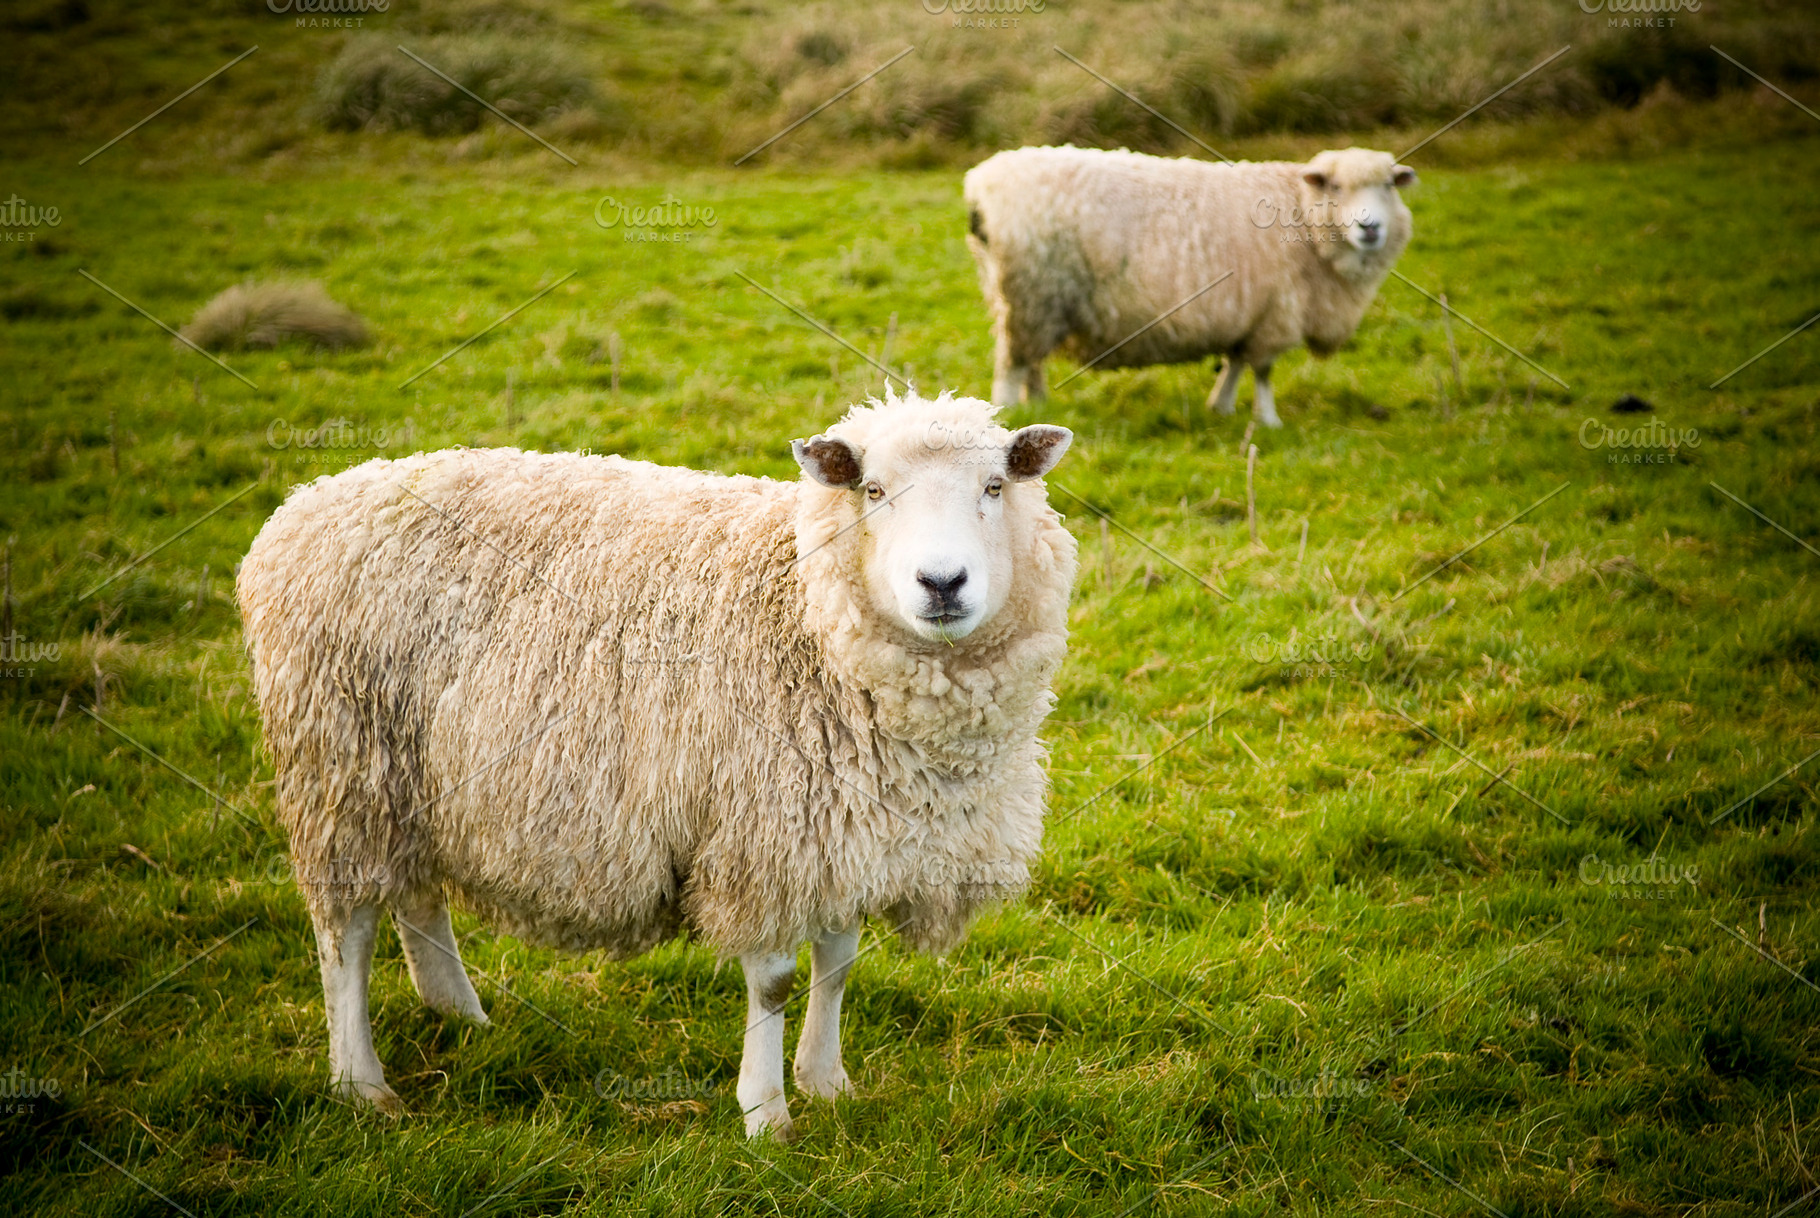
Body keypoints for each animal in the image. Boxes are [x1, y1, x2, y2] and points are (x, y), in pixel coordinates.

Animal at [235, 388, 1078, 1140]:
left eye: (995, 486)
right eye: (873, 490)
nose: (942, 584)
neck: (802, 608)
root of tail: (310, 501)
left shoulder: (839, 827)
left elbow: (837, 962)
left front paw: (827, 1082)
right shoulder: (759, 830)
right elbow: (774, 981)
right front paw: (766, 1114)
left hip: (416, 774)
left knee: (416, 897)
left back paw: (460, 1014)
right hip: (341, 763)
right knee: (345, 932)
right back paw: (360, 1083)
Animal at [964, 145, 1415, 426]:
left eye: (1388, 187)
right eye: (1337, 187)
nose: (1370, 228)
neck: (1304, 217)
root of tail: (979, 185)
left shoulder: (1248, 311)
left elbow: (1235, 361)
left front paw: (1222, 407)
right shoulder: (1277, 310)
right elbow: (1263, 370)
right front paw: (1268, 420)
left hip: (1033, 299)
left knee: (1031, 361)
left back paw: (1037, 405)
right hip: (1029, 292)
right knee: (1012, 365)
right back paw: (1007, 412)